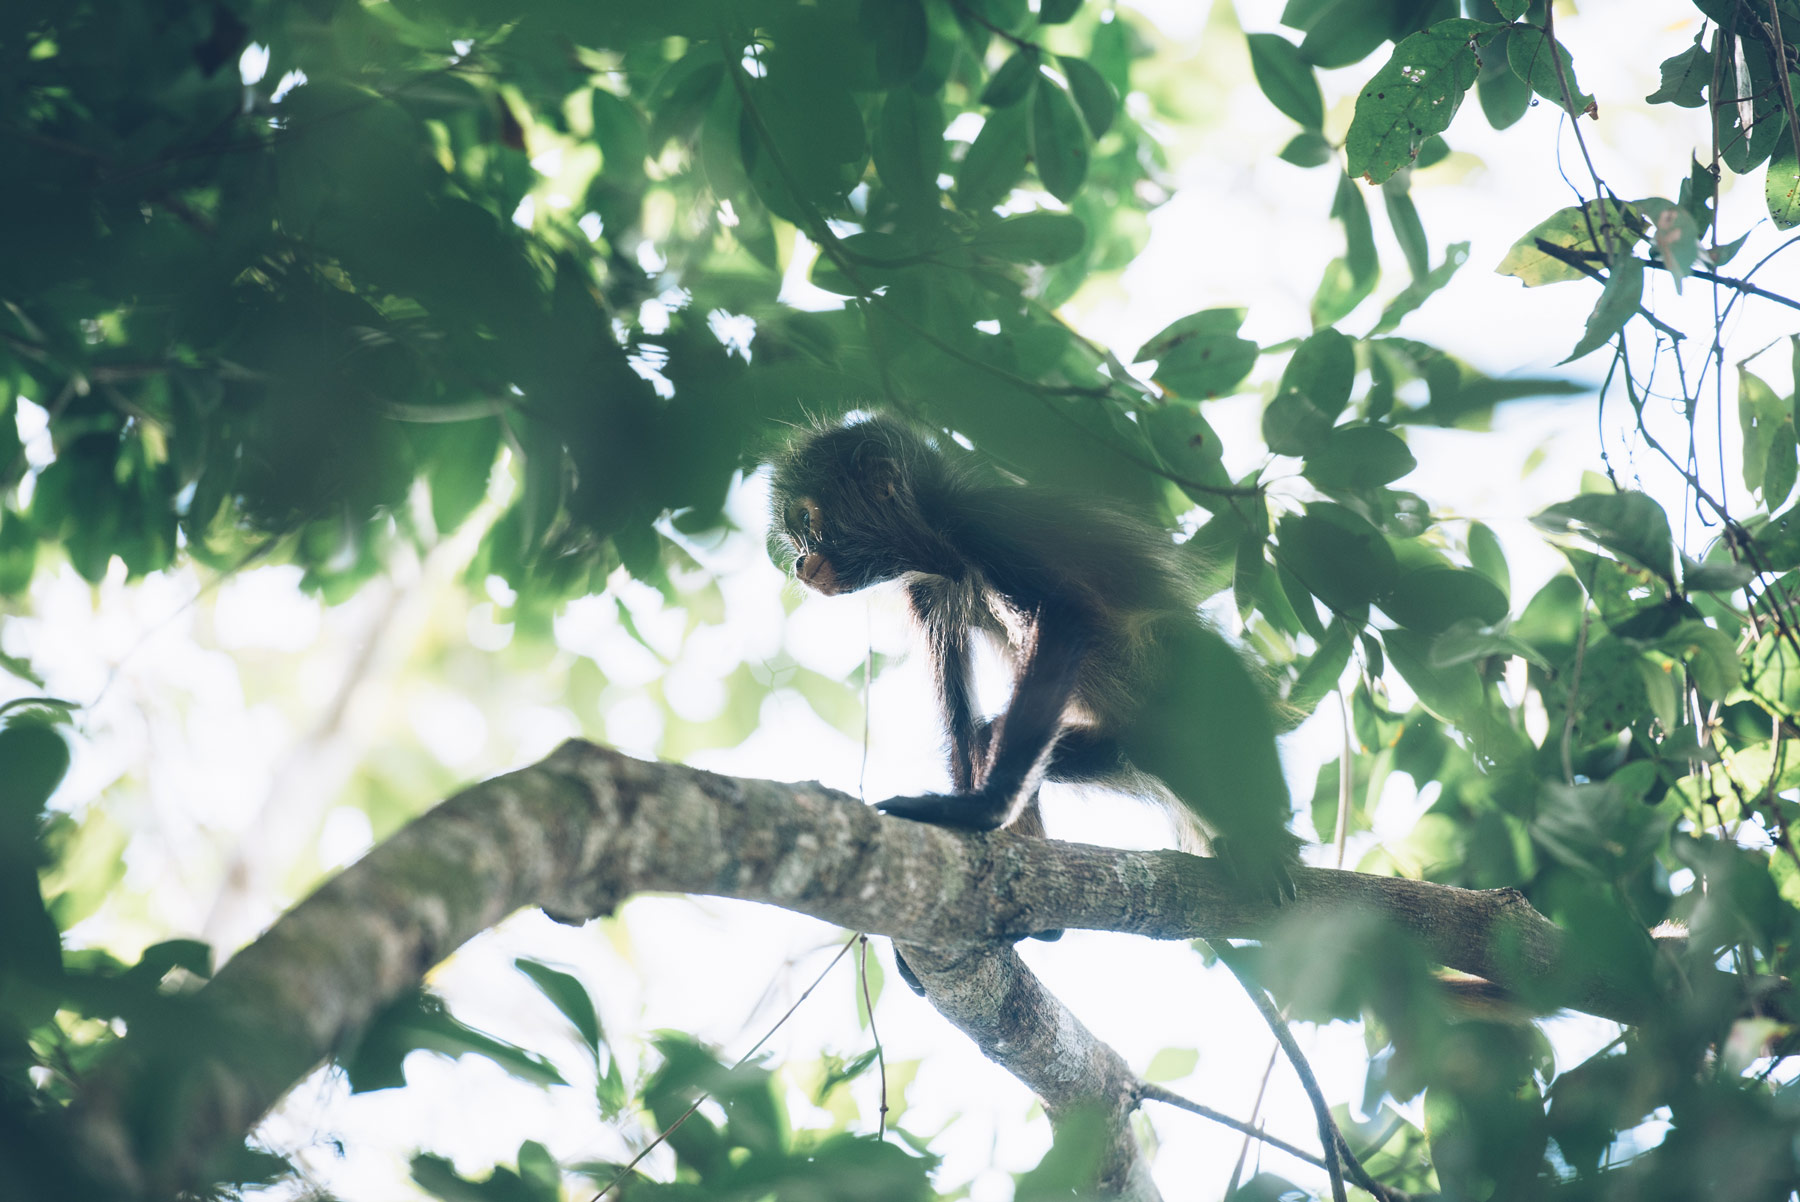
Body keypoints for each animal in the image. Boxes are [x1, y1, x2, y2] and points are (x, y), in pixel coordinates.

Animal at [766, 413, 1303, 892]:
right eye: (797, 533)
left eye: (808, 520)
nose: (798, 561)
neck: (944, 550)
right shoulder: (924, 591)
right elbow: (961, 724)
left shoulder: (985, 526)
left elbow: (1066, 614)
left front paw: (981, 810)